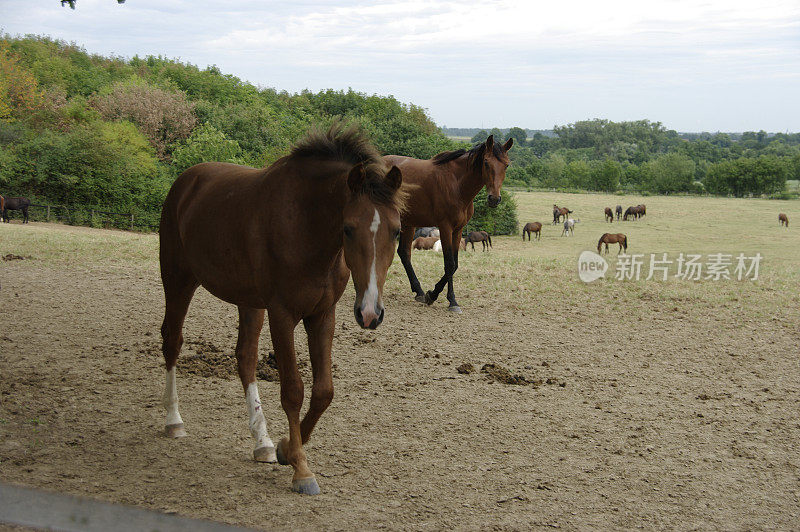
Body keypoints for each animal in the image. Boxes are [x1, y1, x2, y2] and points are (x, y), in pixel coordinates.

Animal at [157, 124, 406, 494]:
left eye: (397, 231)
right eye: (348, 229)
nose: (370, 313)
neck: (305, 225)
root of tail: (185, 181)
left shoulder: (322, 315)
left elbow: (323, 392)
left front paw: (285, 448)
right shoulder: (282, 314)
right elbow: (292, 390)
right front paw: (301, 468)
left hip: (248, 302)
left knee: (245, 357)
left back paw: (261, 442)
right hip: (178, 281)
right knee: (172, 341)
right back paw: (174, 421)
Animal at [386, 135, 512, 314]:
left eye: (506, 165)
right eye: (486, 162)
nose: (494, 199)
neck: (457, 184)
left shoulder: (458, 230)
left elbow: (455, 264)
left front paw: (432, 295)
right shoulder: (445, 227)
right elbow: (449, 264)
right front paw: (448, 300)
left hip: (408, 223)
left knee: (404, 253)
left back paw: (419, 292)